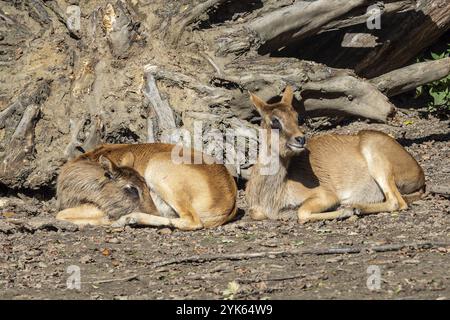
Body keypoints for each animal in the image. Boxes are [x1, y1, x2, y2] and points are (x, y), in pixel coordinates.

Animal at [246, 86, 426, 224]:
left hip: (378, 162)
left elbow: (301, 212)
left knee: (397, 202)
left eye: (296, 117)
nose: (301, 139)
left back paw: (354, 207)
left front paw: (344, 211)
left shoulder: (326, 195)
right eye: (275, 120)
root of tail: (419, 173)